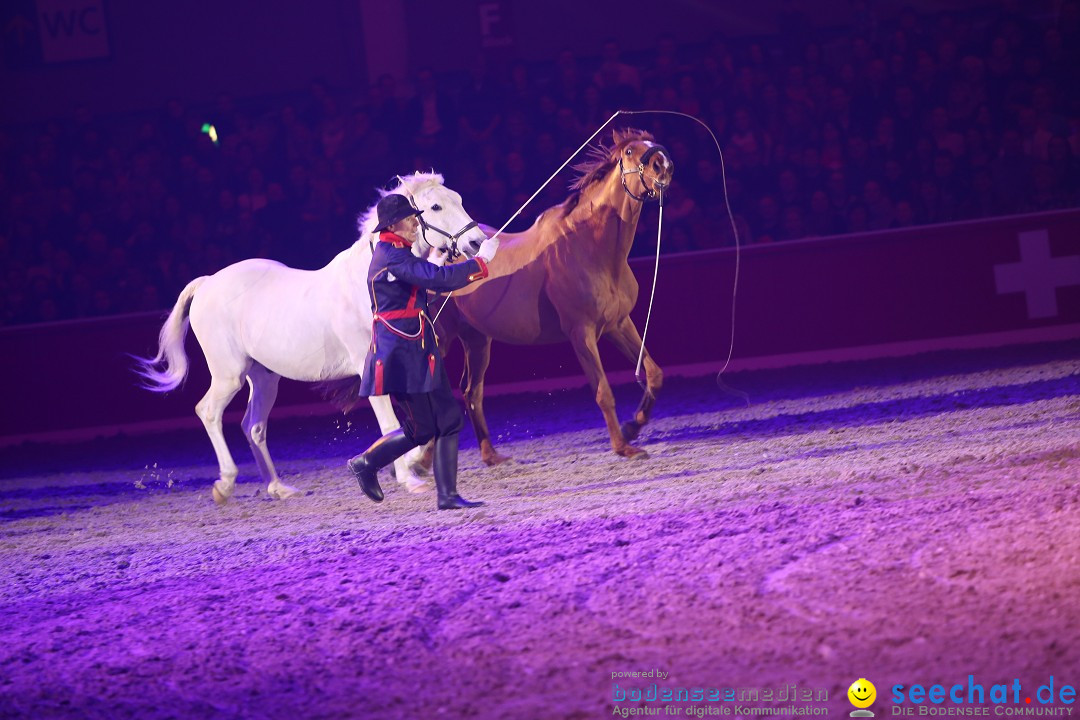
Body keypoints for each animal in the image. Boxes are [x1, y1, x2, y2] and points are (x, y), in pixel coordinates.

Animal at [135, 171, 486, 505]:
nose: (477, 242)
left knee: (254, 426)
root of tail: (208, 283)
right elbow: (391, 424)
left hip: (263, 377)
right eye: (436, 206)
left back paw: (279, 488)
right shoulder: (373, 369)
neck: (366, 280)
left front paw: (410, 464)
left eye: (458, 199)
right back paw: (225, 484)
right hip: (228, 375)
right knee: (209, 412)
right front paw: (408, 477)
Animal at [442, 128, 669, 462]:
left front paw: (631, 428)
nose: (664, 165)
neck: (590, 247)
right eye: (629, 152)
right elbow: (603, 392)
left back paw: (491, 456)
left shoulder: (617, 324)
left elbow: (653, 374)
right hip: (437, 339)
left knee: (472, 392)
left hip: (476, 339)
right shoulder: (581, 333)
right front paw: (623, 446)